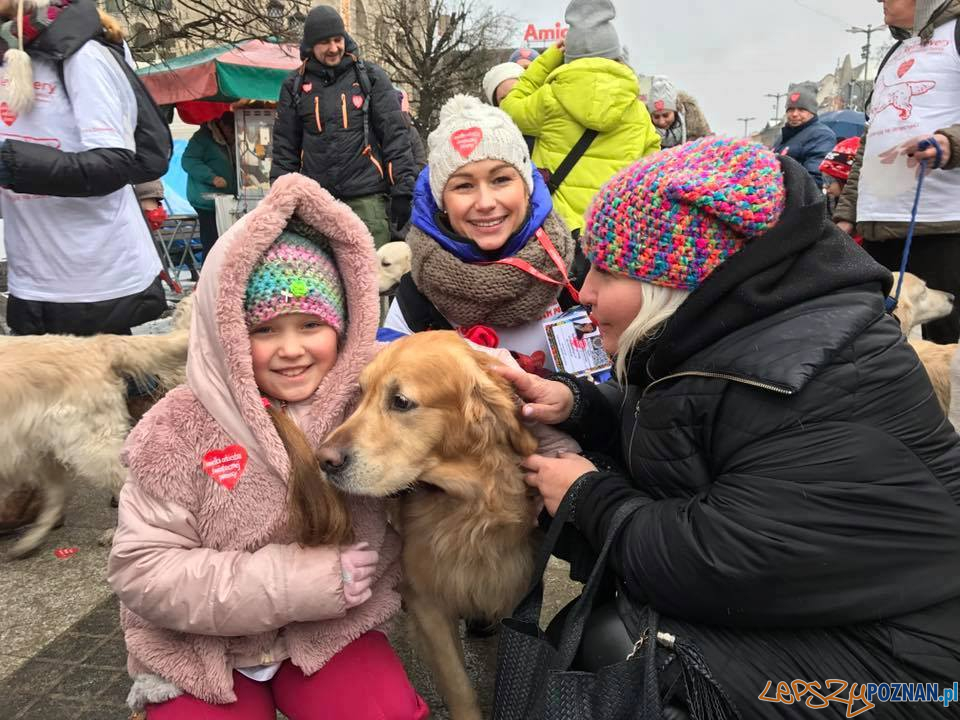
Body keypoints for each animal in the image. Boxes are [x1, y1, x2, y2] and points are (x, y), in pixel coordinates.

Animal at [324, 334, 540, 720]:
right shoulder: (429, 601)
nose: (323, 460)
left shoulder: (514, 588)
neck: (467, 506)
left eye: (400, 401)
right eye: (360, 393)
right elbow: (458, 684)